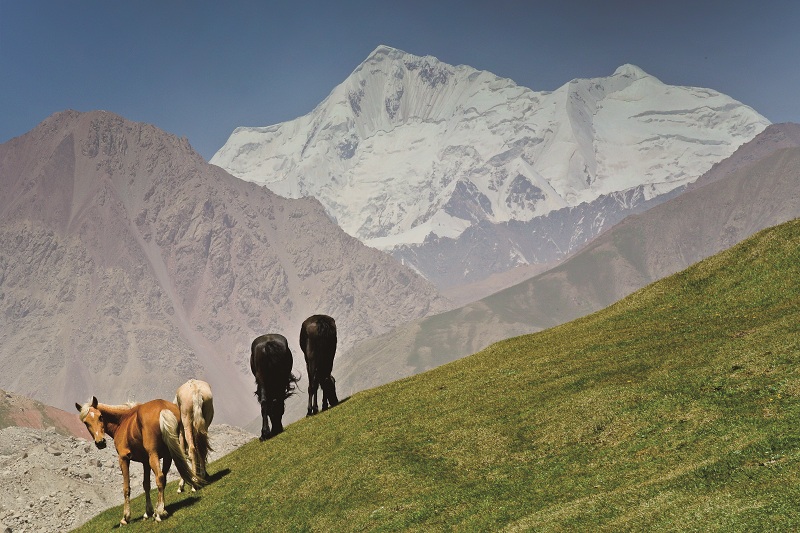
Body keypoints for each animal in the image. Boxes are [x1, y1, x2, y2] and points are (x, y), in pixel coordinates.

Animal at [75, 396, 205, 525]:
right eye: (86, 422)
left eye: (100, 417)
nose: (100, 442)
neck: (122, 421)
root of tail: (163, 408)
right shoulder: (145, 461)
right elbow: (146, 484)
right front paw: (148, 512)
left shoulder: (123, 459)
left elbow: (126, 487)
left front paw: (126, 517)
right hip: (168, 454)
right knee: (163, 479)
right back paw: (160, 509)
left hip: (154, 455)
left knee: (159, 477)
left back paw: (159, 513)